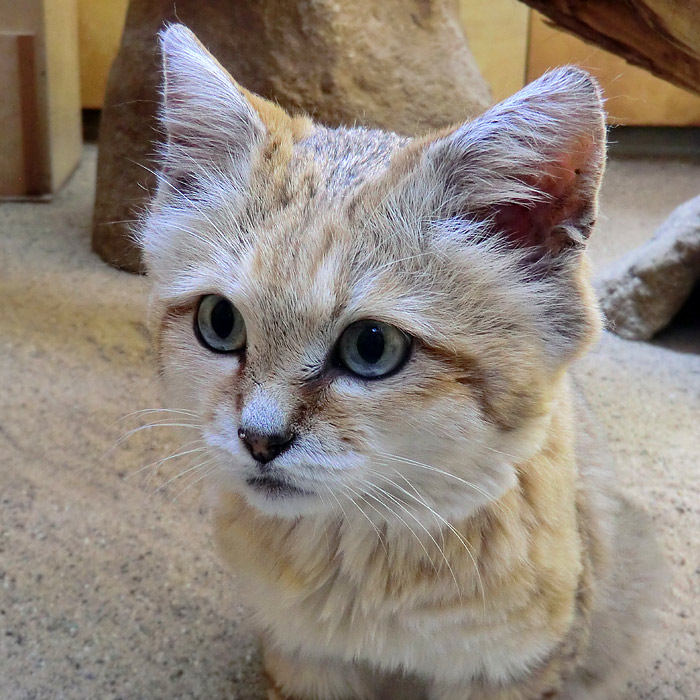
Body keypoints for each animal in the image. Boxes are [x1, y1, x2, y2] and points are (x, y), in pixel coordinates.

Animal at [139, 24, 664, 700]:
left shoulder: (515, 670)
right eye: (220, 323)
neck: (367, 556)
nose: (257, 440)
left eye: (372, 347)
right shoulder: (300, 659)